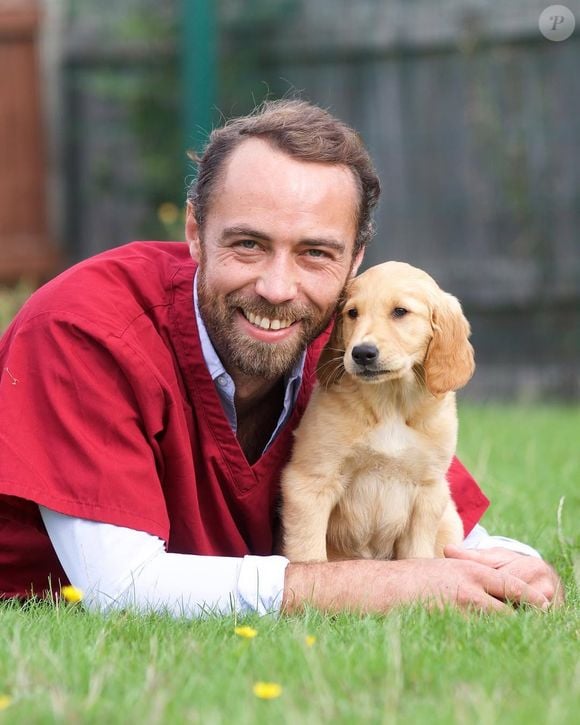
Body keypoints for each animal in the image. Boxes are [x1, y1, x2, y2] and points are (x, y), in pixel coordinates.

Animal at [280, 264, 476, 564]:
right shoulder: (312, 480)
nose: (362, 353)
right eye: (352, 313)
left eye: (400, 311)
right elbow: (309, 553)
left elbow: (418, 556)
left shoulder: (429, 491)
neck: (390, 402)